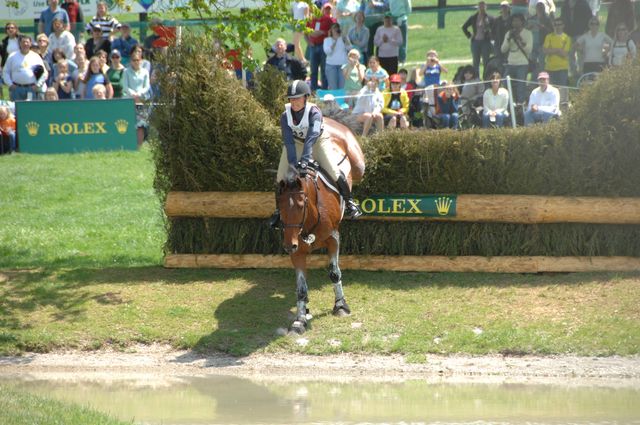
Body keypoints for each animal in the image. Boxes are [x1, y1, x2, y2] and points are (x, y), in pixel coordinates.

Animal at [276, 117, 362, 334]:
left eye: (301, 205)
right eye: (279, 205)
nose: (288, 245)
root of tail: (330, 120)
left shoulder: (333, 239)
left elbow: (334, 272)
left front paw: (341, 306)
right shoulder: (298, 251)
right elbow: (301, 288)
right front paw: (300, 319)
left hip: (355, 161)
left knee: (350, 173)